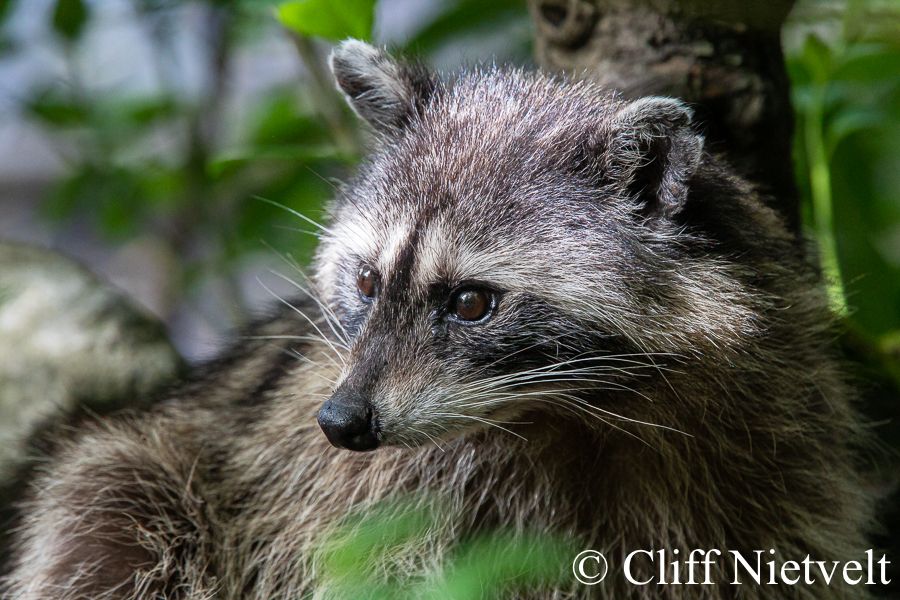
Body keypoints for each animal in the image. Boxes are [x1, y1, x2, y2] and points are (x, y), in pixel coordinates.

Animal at [2, 40, 877, 599]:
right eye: (365, 279)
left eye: (470, 302)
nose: (342, 421)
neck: (578, 411)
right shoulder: (352, 499)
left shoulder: (768, 464)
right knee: (107, 512)